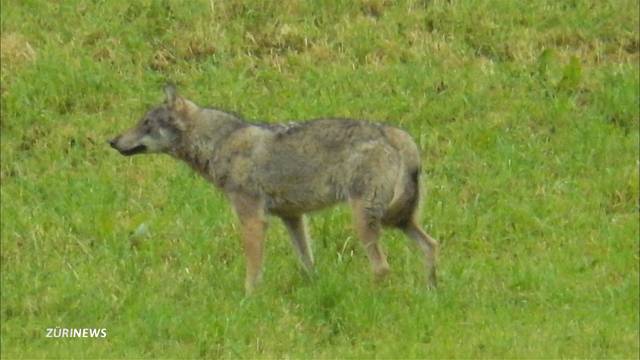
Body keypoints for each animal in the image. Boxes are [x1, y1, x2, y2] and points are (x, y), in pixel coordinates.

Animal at [111, 86, 440, 294]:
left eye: (146, 123)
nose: (112, 141)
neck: (220, 143)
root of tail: (397, 135)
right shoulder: (292, 217)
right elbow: (307, 263)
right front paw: (313, 291)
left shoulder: (253, 218)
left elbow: (253, 269)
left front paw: (248, 300)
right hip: (399, 221)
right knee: (431, 245)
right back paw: (430, 292)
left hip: (365, 220)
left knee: (382, 267)